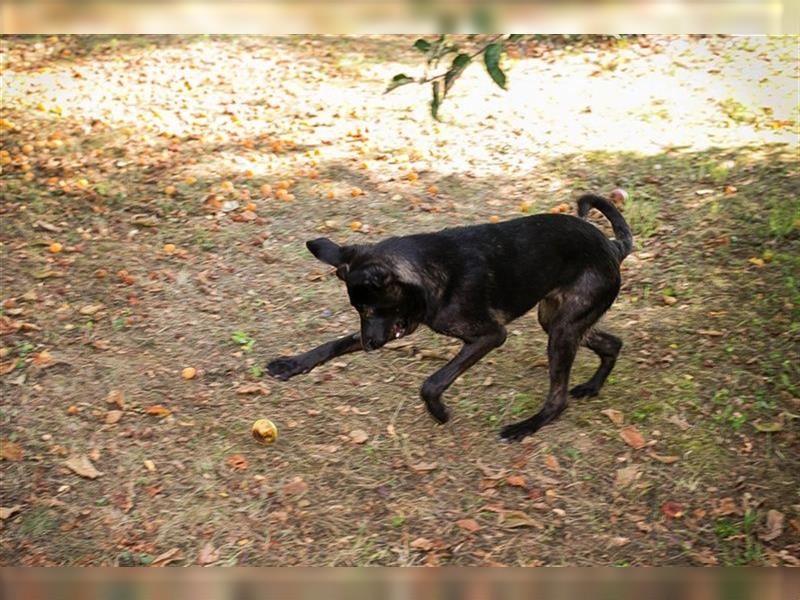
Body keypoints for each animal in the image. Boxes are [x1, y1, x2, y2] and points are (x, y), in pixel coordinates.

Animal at [268, 193, 632, 440]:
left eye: (371, 309)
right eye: (358, 311)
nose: (370, 346)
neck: (429, 274)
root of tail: (613, 247)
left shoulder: (490, 336)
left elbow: (432, 382)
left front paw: (439, 412)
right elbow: (333, 344)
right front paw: (292, 363)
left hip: (562, 330)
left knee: (558, 398)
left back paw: (525, 426)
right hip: (556, 319)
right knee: (613, 343)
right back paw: (592, 387)